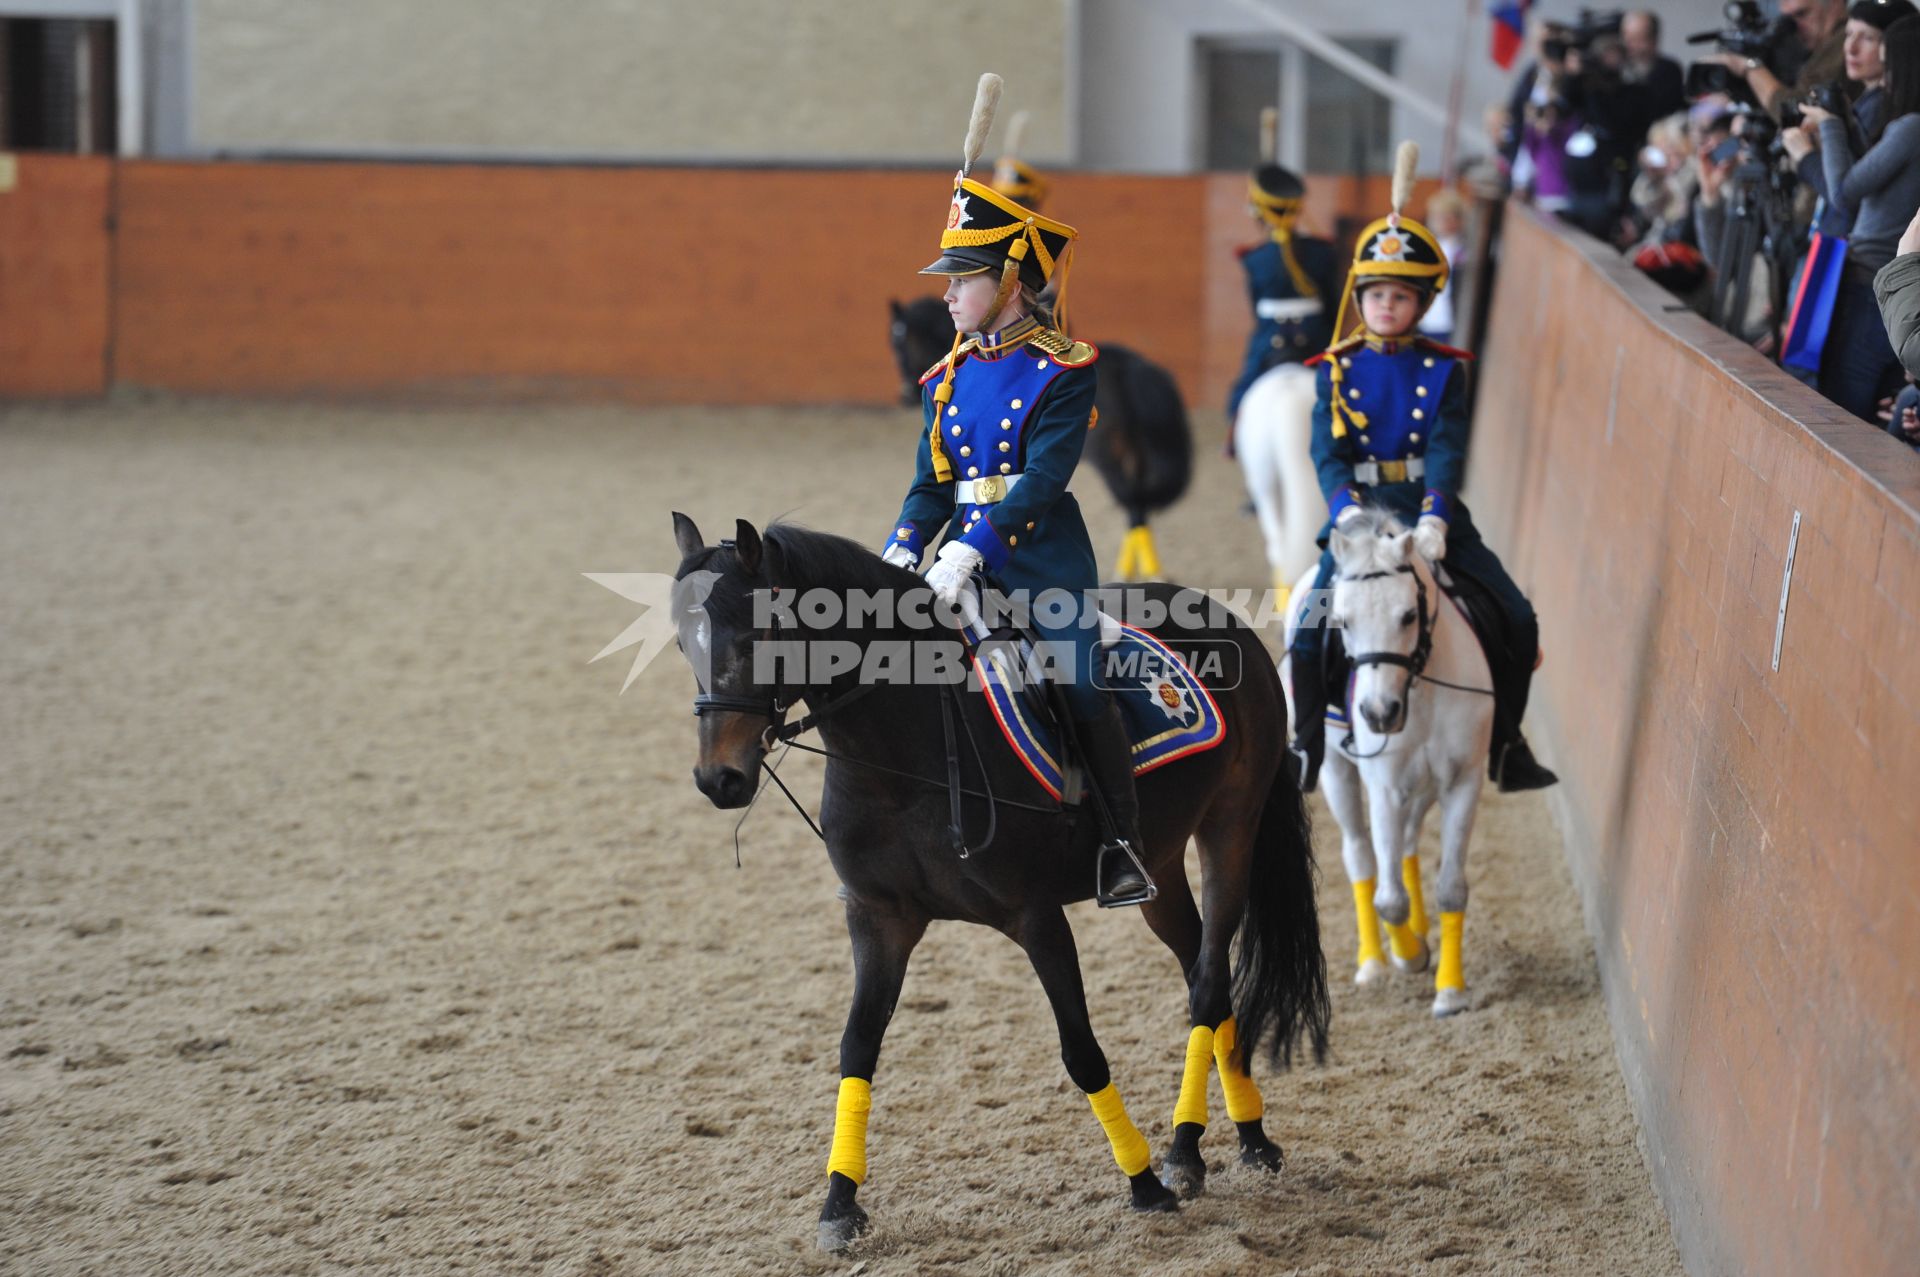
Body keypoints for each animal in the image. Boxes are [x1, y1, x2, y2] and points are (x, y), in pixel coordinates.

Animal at [1290, 506, 1497, 1013]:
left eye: (1408, 615)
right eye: (1342, 621)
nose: (1379, 713)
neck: (1420, 691)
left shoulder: (1463, 781)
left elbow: (1451, 889)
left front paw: (1450, 989)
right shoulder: (1385, 786)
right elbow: (1389, 900)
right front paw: (1410, 957)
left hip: (1423, 786)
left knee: (1405, 844)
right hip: (1337, 772)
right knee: (1362, 855)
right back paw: (1373, 963)